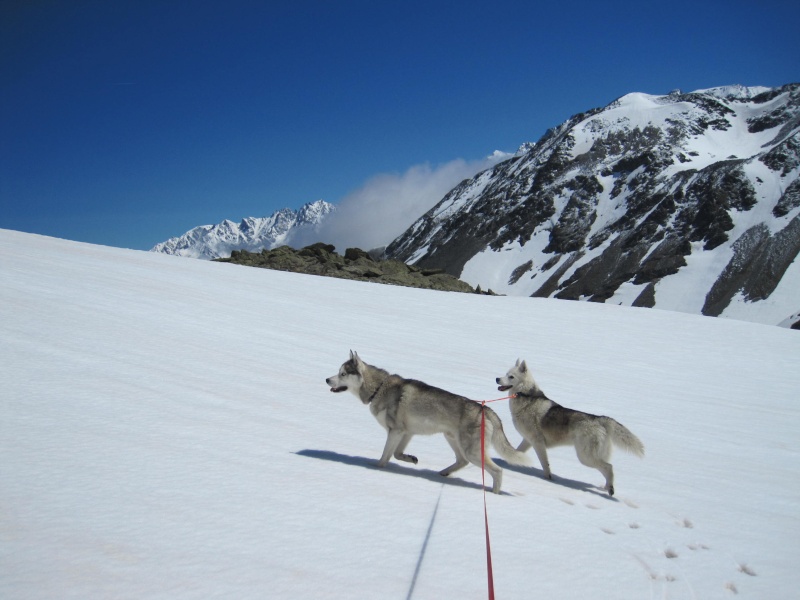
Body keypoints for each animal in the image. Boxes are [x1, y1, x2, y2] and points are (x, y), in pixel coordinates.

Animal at [326, 350, 532, 494]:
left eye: (343, 374)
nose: (327, 379)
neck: (379, 388)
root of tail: (485, 409)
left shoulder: (395, 431)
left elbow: (385, 457)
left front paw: (374, 469)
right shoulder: (406, 433)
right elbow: (397, 454)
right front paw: (411, 458)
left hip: (472, 451)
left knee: (497, 471)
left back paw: (494, 493)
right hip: (452, 440)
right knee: (462, 461)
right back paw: (444, 473)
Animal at [494, 358, 644, 494]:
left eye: (511, 377)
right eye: (505, 374)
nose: (497, 378)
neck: (525, 395)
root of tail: (599, 418)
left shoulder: (537, 442)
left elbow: (545, 464)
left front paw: (548, 479)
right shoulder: (528, 440)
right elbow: (516, 453)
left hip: (585, 456)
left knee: (609, 467)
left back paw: (610, 490)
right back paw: (606, 487)